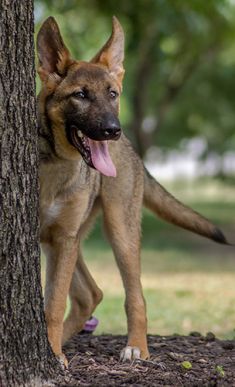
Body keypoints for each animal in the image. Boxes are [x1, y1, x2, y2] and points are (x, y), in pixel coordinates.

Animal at [37, 16, 228, 366]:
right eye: (80, 95)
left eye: (113, 94)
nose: (112, 129)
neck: (57, 162)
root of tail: (130, 147)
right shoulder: (57, 239)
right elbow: (53, 303)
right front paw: (54, 351)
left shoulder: (64, 238)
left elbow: (53, 305)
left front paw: (54, 354)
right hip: (62, 241)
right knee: (90, 294)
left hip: (119, 230)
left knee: (133, 295)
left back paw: (136, 347)